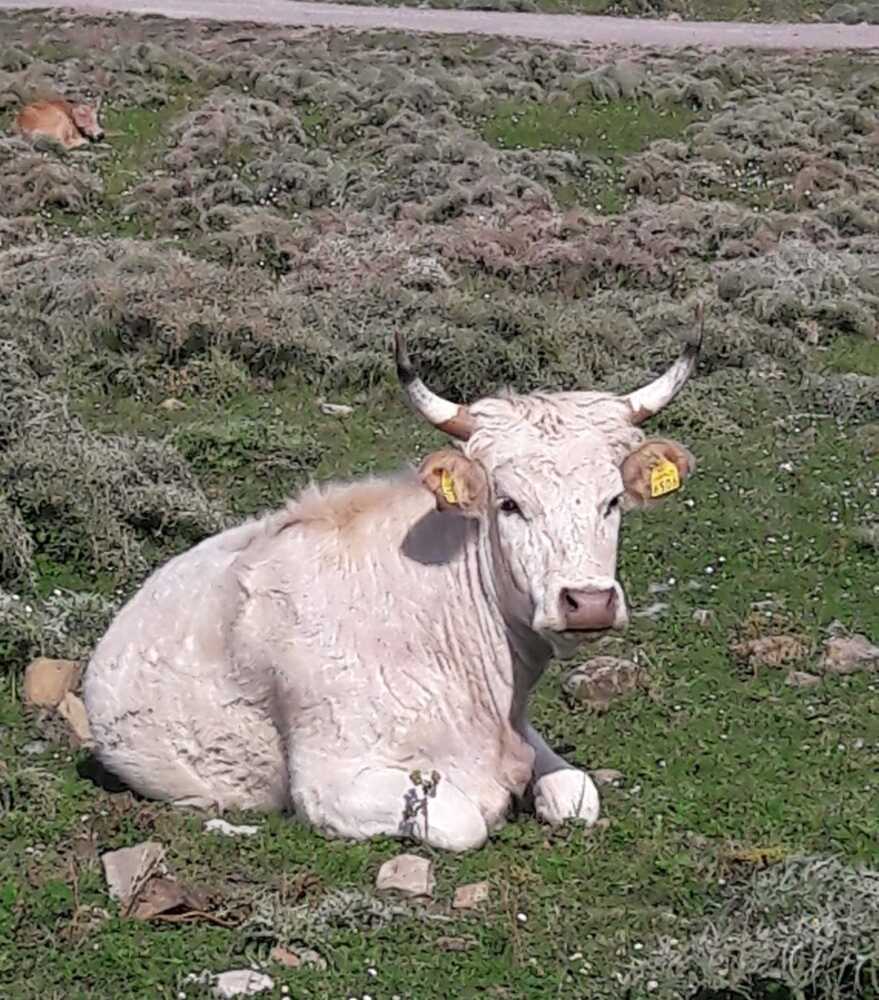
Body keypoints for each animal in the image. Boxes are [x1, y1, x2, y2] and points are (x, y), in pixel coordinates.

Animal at [83, 323, 702, 852]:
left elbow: (577, 795)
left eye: (612, 500)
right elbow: (463, 818)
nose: (588, 603)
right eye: (509, 503)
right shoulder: (331, 782)